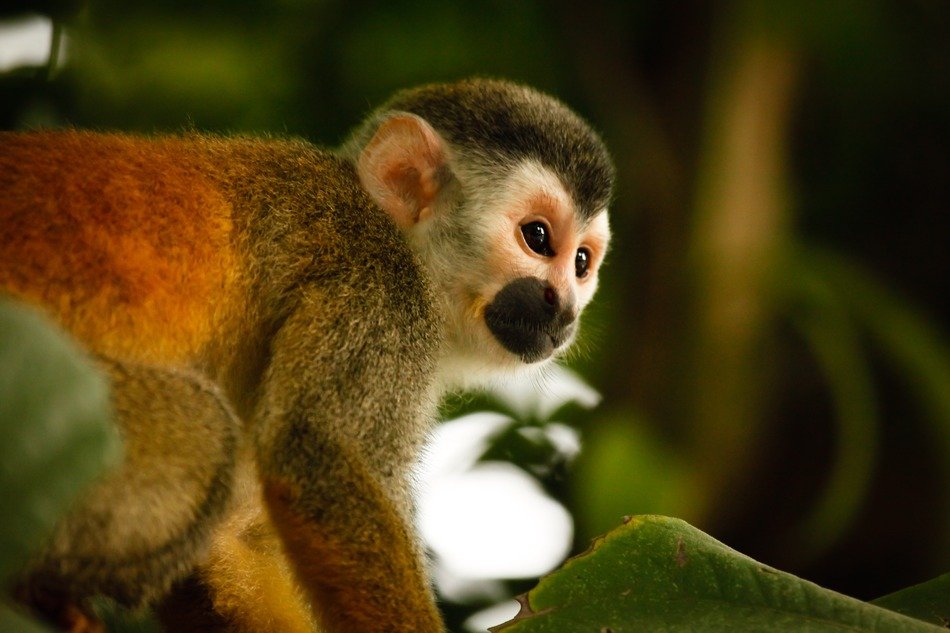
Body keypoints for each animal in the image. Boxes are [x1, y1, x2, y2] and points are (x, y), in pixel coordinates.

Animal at [0, 78, 614, 632]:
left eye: (582, 263)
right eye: (538, 238)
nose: (564, 309)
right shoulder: (378, 289)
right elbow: (313, 452)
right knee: (203, 432)